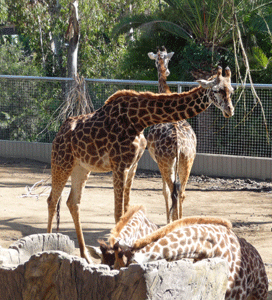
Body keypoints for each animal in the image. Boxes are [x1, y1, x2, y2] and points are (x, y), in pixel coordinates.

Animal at [46, 65, 234, 262]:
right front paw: (116, 255)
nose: (230, 110)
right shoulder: (119, 164)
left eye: (231, 90)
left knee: (72, 202)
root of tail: (59, 132)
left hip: (81, 168)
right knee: (52, 199)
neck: (139, 120)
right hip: (61, 161)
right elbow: (118, 212)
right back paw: (48, 243)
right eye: (216, 90)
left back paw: (84, 256)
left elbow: (126, 209)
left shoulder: (132, 165)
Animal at [148, 46, 197, 223]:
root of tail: (178, 145)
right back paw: (181, 221)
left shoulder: (157, 162)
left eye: (167, 59)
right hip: (187, 160)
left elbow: (164, 191)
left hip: (166, 163)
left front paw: (168, 220)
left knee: (173, 193)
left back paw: (173, 222)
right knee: (181, 193)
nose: (167, 71)